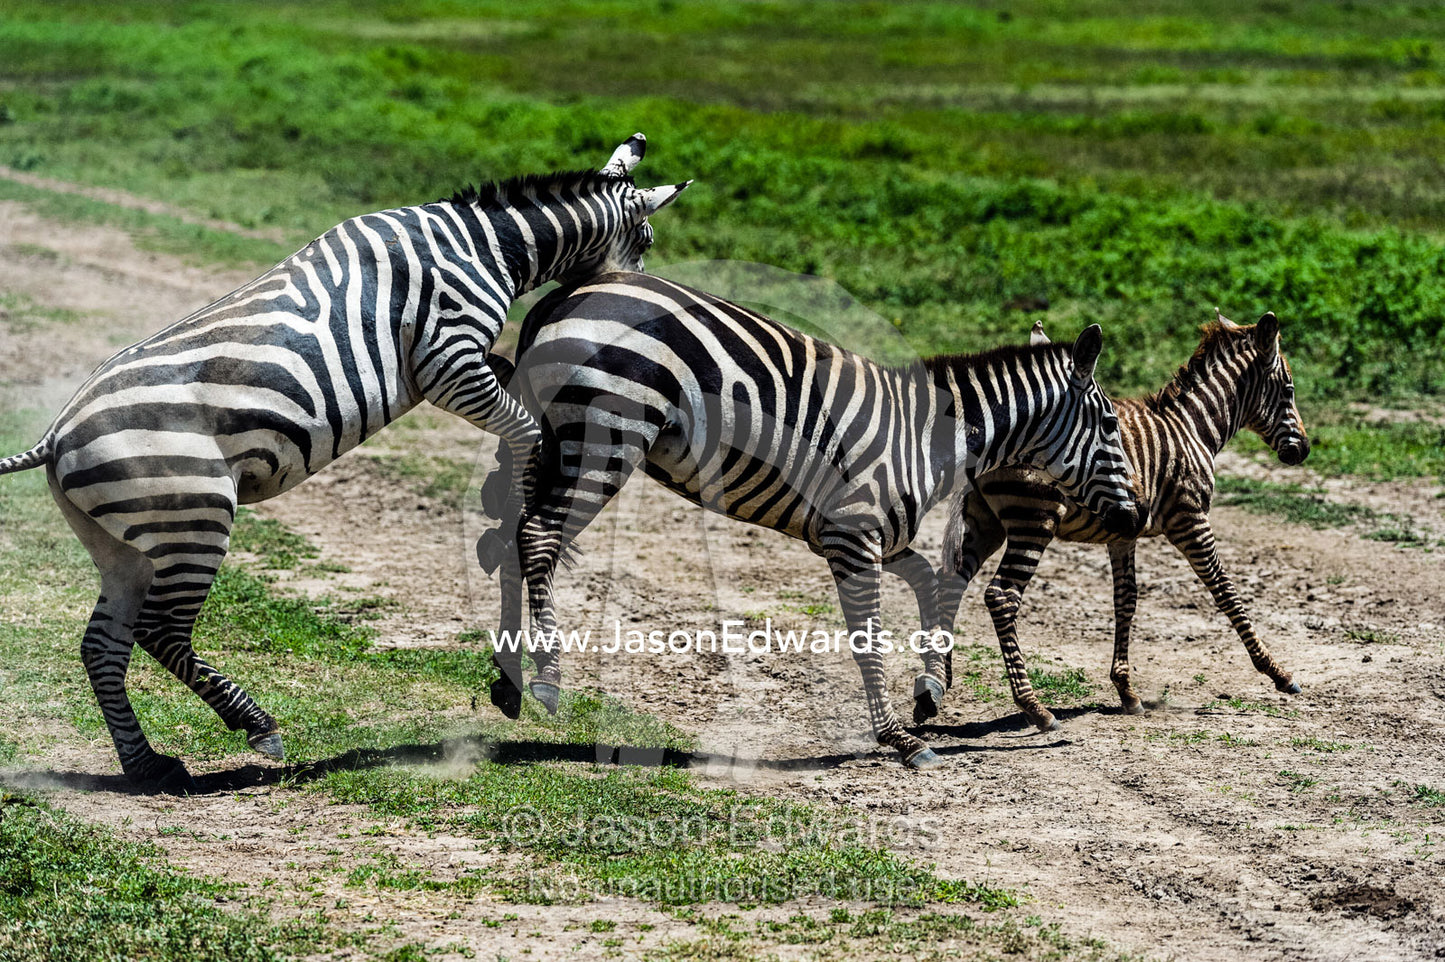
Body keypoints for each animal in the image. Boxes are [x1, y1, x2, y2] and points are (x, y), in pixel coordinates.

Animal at [0, 135, 691, 791]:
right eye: (648, 240)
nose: (639, 305)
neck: (487, 247)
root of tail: (56, 435)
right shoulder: (449, 360)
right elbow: (524, 428)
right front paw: (522, 499)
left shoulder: (465, 363)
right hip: (194, 518)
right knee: (161, 631)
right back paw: (258, 726)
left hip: (125, 543)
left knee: (103, 644)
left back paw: (147, 765)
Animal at [481, 271, 1142, 769]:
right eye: (1111, 424)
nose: (1135, 517)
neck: (926, 438)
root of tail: (562, 298)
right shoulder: (853, 534)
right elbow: (869, 638)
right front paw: (901, 739)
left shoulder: (867, 533)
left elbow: (928, 581)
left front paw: (930, 691)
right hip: (605, 436)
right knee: (538, 535)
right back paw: (547, 680)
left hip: (556, 438)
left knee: (513, 536)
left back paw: (509, 681)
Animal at [920, 311, 1309, 731]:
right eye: (1288, 390)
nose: (1304, 450)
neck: (1194, 429)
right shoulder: (1189, 519)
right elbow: (1225, 591)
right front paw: (1278, 673)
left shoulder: (1123, 533)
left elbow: (1126, 599)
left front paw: (1126, 690)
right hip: (1034, 519)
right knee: (1001, 596)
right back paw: (1034, 707)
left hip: (986, 520)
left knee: (950, 582)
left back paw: (933, 688)